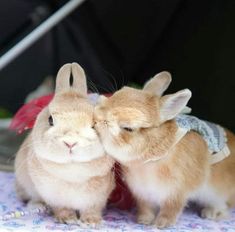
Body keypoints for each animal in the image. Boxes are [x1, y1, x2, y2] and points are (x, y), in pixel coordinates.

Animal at [13, 62, 114, 226]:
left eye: (94, 123)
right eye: (50, 120)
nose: (70, 142)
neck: (72, 169)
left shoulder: (97, 198)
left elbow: (91, 209)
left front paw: (91, 222)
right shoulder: (53, 197)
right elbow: (62, 208)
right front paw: (67, 219)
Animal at [94, 72, 235, 228]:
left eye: (128, 128)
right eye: (118, 93)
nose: (96, 118)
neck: (152, 156)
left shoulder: (177, 192)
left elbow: (171, 209)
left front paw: (162, 224)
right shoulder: (143, 193)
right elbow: (146, 207)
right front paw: (144, 220)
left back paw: (211, 213)